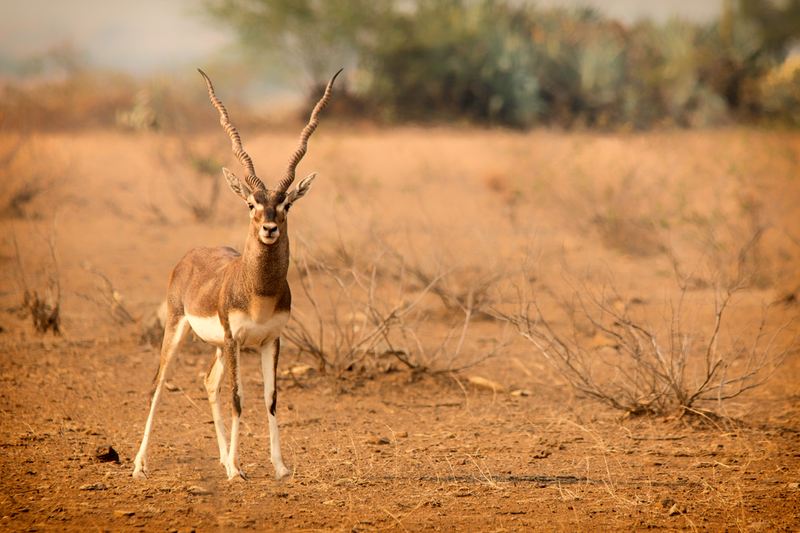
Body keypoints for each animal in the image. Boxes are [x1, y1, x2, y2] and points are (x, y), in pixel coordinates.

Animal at [134, 68, 340, 480]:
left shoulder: (270, 340)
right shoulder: (234, 340)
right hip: (178, 329)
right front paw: (235, 471)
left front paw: (278, 467)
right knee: (158, 384)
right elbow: (238, 398)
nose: (269, 229)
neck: (258, 293)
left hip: (217, 347)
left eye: (287, 205)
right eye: (250, 204)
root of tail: (190, 255)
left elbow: (270, 398)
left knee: (208, 382)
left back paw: (222, 456)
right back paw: (140, 465)